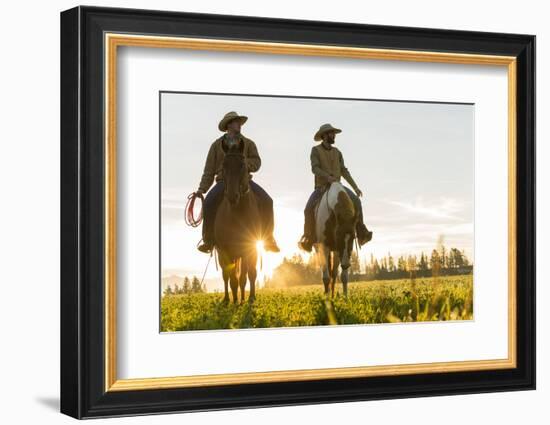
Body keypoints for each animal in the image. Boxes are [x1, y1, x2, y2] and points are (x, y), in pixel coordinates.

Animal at [215, 144, 262, 304]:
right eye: (223, 165)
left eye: (242, 165)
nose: (232, 196)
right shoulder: (225, 249)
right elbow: (232, 278)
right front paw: (235, 301)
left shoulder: (251, 246)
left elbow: (250, 273)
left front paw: (251, 298)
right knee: (226, 275)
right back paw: (228, 299)